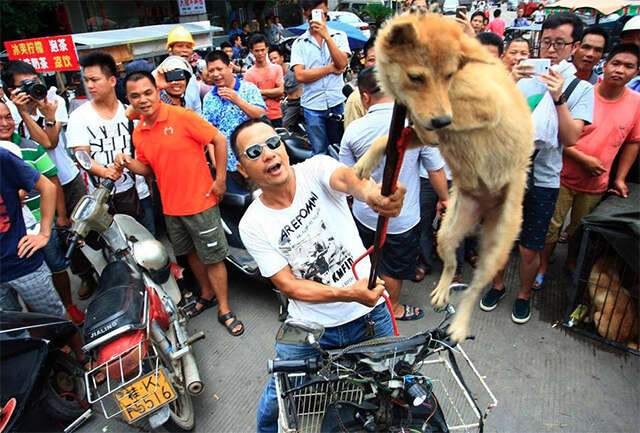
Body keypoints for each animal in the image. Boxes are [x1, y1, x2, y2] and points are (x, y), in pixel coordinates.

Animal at [356, 13, 536, 340]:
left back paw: (460, 324)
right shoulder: (419, 126)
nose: (440, 120)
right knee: (451, 264)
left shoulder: (485, 107)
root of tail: (484, 209)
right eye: (417, 77)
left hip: (496, 248)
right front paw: (365, 163)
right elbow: (387, 138)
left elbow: (440, 120)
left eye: (449, 75)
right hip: (446, 232)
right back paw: (441, 292)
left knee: (474, 289)